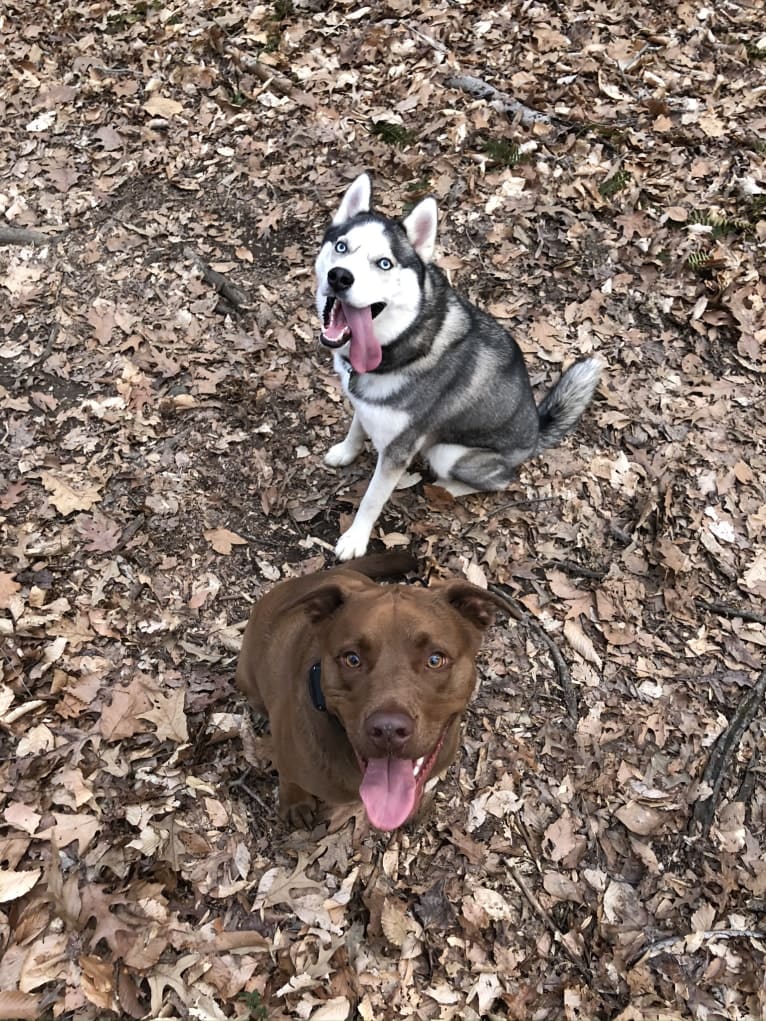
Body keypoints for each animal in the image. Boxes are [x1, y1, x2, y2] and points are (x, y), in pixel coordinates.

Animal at [236, 555, 506, 833]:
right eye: (352, 659)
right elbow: (289, 780)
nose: (388, 730)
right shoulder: (288, 760)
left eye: (435, 660)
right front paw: (295, 804)